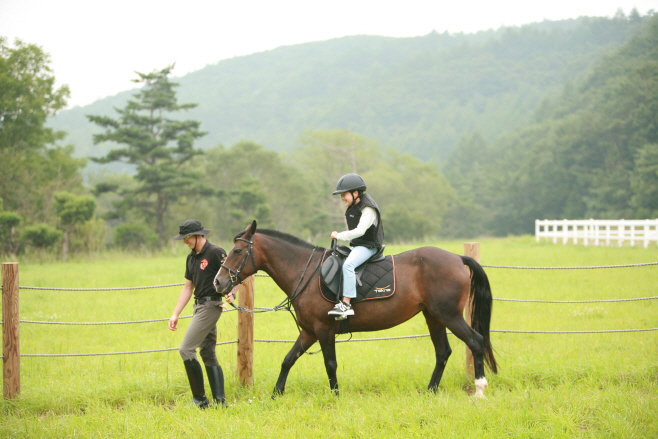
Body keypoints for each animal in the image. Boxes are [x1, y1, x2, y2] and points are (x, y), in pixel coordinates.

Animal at [215, 222, 498, 398]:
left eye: (238, 250)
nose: (218, 282)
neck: (306, 272)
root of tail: (457, 258)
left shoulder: (323, 330)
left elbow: (330, 364)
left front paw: (335, 396)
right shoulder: (308, 332)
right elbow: (288, 360)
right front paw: (276, 394)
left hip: (449, 316)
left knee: (475, 341)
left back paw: (480, 389)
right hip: (434, 317)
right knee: (443, 352)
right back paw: (430, 391)